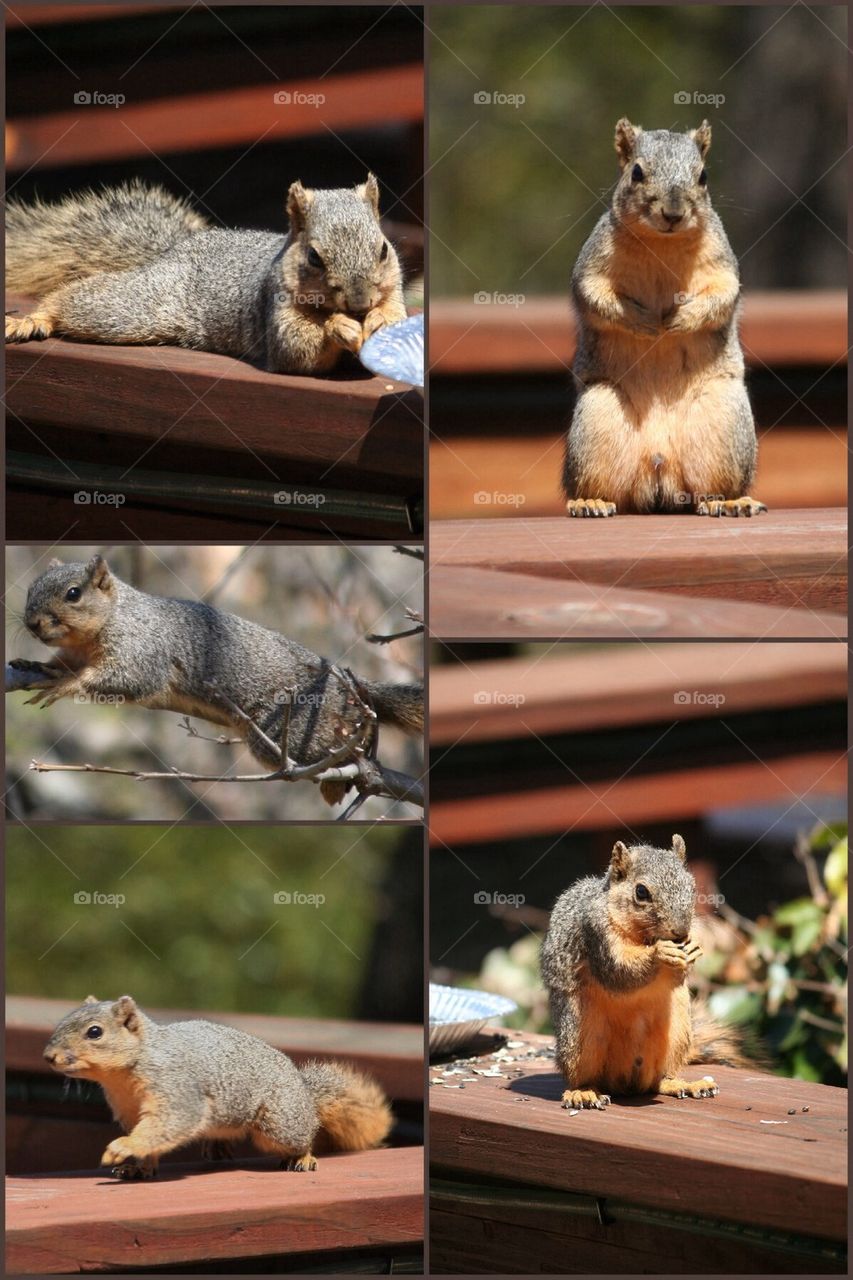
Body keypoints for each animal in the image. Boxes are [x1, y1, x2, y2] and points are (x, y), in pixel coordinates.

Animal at [5, 174, 407, 375]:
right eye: (314, 257)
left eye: (384, 249)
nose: (360, 304)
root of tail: (174, 250)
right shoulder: (274, 307)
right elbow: (297, 348)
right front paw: (341, 326)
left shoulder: (395, 290)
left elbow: (395, 312)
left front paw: (381, 321)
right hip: (135, 308)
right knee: (76, 299)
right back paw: (32, 319)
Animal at [10, 554, 423, 806]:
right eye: (30, 589)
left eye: (73, 594)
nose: (32, 623)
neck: (110, 617)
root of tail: (351, 690)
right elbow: (64, 665)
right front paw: (43, 668)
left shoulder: (141, 650)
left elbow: (129, 679)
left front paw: (66, 685)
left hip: (290, 730)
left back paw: (345, 768)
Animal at [43, 995, 392, 1178]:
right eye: (62, 1022)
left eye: (95, 1032)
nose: (49, 1056)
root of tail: (304, 1093)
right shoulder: (130, 1109)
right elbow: (152, 1137)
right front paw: (138, 1168)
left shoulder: (178, 1090)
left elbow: (167, 1124)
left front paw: (123, 1148)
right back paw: (217, 1145)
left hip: (278, 1123)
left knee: (302, 1135)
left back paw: (303, 1157)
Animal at [540, 834, 750, 1109]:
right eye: (641, 892)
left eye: (692, 887)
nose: (680, 932)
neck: (643, 936)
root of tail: (626, 1082)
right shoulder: (596, 935)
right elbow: (620, 972)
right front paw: (660, 954)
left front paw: (692, 949)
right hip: (578, 1036)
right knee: (583, 1077)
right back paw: (582, 1093)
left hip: (677, 1031)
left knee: (659, 1080)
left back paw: (685, 1084)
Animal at [563, 118, 767, 518]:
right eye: (636, 173)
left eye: (703, 176)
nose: (673, 213)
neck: (662, 243)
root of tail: (660, 470)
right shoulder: (593, 261)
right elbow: (594, 295)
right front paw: (643, 321)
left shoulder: (721, 261)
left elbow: (722, 295)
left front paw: (679, 320)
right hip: (598, 417)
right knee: (602, 485)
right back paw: (590, 501)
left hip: (722, 419)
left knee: (710, 489)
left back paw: (731, 501)